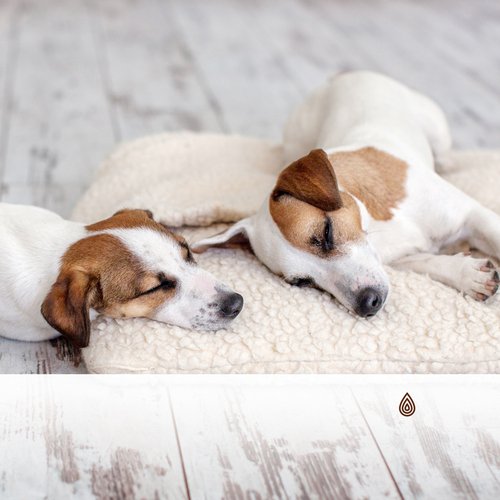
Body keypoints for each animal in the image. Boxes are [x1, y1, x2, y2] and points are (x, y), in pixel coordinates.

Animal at [193, 70, 500, 316]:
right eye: (302, 282)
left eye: (326, 233)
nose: (367, 303)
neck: (374, 223)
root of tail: (338, 77)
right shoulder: (399, 259)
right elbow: (428, 263)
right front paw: (467, 274)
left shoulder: (474, 215)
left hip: (436, 131)